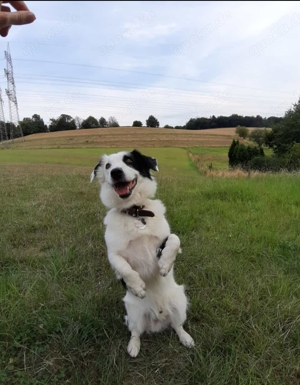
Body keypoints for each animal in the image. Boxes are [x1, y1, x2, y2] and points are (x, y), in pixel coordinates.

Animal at [90, 148, 195, 356]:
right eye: (107, 166)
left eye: (129, 160)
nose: (116, 172)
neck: (135, 213)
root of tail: (157, 319)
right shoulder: (113, 254)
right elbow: (124, 268)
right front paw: (137, 286)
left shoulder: (164, 240)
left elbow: (175, 239)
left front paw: (164, 264)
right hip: (133, 314)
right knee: (136, 332)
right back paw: (133, 347)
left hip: (180, 302)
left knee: (177, 325)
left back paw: (186, 338)